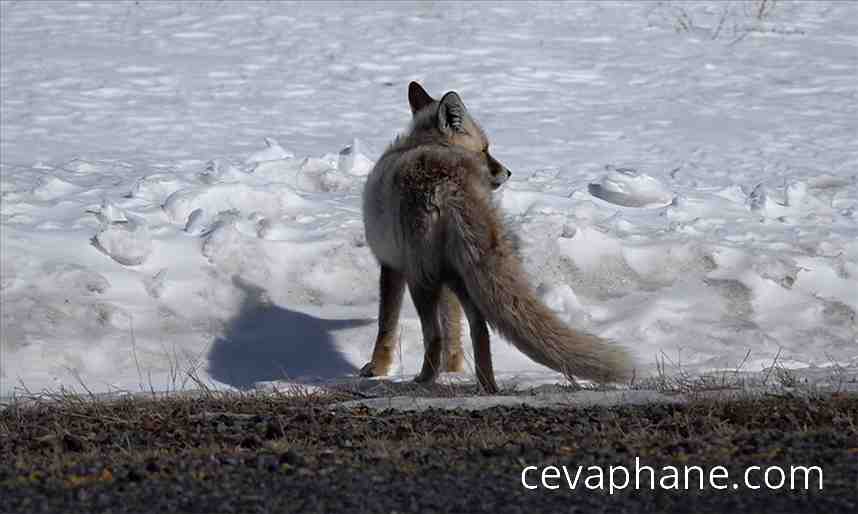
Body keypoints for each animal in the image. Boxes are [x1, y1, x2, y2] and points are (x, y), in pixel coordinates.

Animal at [358, 82, 632, 390]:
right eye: (486, 149)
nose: (508, 172)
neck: (423, 141)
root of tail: (450, 182)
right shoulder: (438, 276)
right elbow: (454, 329)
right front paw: (454, 369)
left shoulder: (392, 265)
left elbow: (386, 326)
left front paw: (377, 368)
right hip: (459, 274)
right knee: (479, 327)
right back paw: (486, 385)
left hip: (423, 278)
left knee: (435, 334)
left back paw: (425, 379)